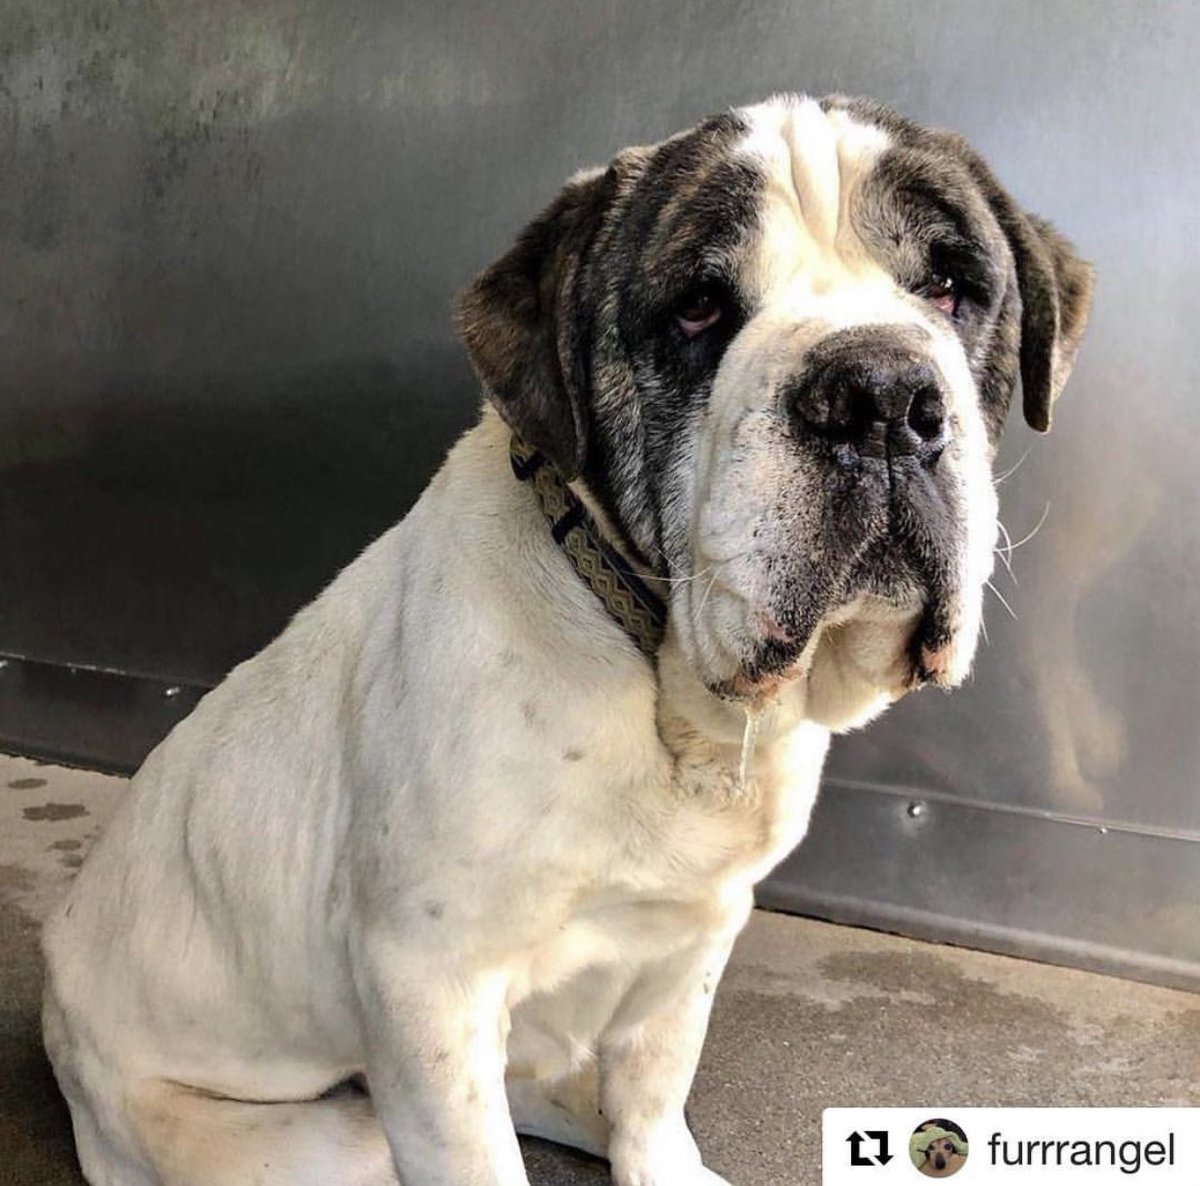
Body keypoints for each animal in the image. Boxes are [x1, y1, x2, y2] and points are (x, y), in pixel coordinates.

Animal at [41, 94, 1092, 1186]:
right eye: (699, 307)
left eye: (951, 287)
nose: (879, 394)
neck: (671, 691)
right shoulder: (431, 989)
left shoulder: (695, 935)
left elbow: (653, 1086)